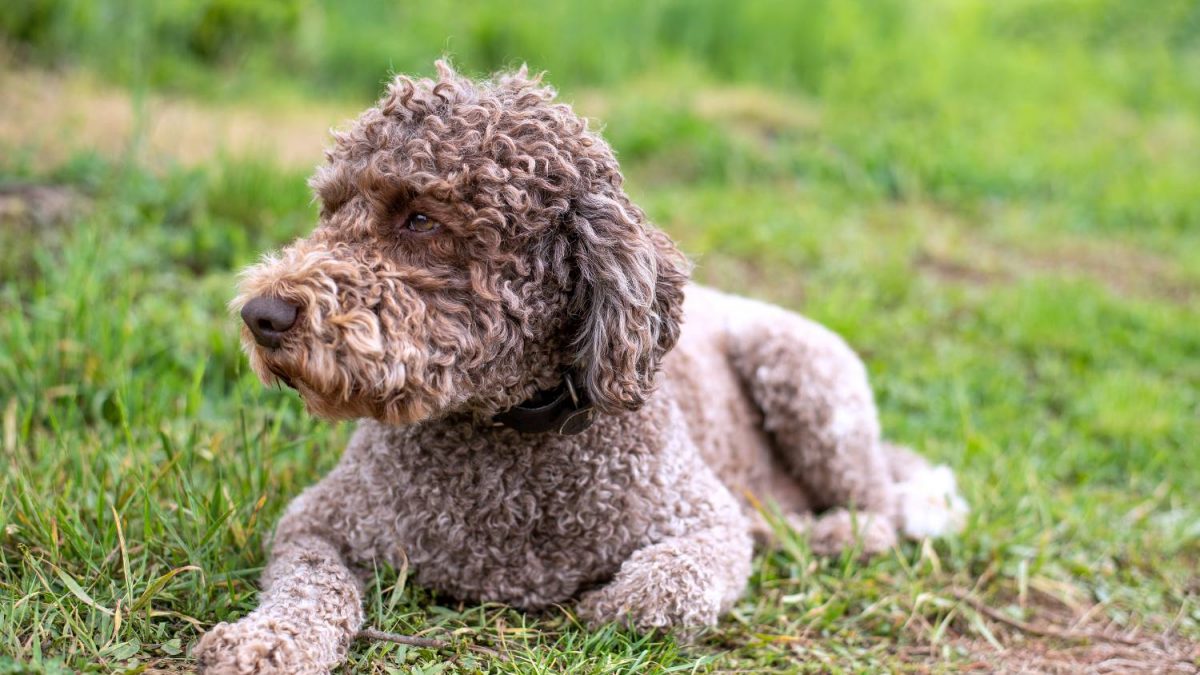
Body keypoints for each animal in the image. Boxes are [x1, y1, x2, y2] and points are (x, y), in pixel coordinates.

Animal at [194, 60, 964, 667]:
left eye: (420, 218)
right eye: (329, 209)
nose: (261, 314)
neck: (508, 431)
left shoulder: (705, 522)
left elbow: (660, 592)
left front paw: (603, 603)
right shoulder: (317, 521)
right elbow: (308, 587)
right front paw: (263, 641)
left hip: (805, 376)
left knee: (880, 508)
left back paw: (825, 531)